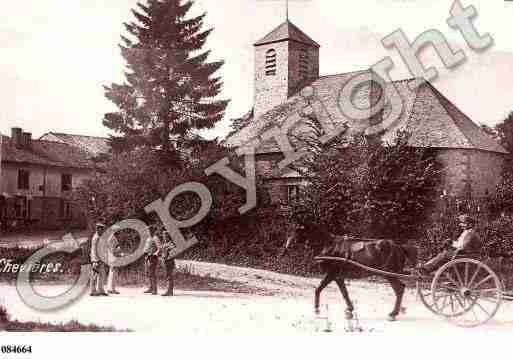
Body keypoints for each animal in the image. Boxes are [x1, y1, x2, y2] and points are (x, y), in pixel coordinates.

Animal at [282, 224, 418, 322]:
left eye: (297, 231)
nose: (286, 246)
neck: (328, 246)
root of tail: (399, 247)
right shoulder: (338, 277)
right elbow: (344, 293)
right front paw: (349, 310)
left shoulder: (332, 274)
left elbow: (318, 289)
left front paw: (317, 310)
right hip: (390, 274)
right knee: (400, 289)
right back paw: (398, 311)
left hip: (389, 274)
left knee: (399, 289)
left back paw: (393, 313)